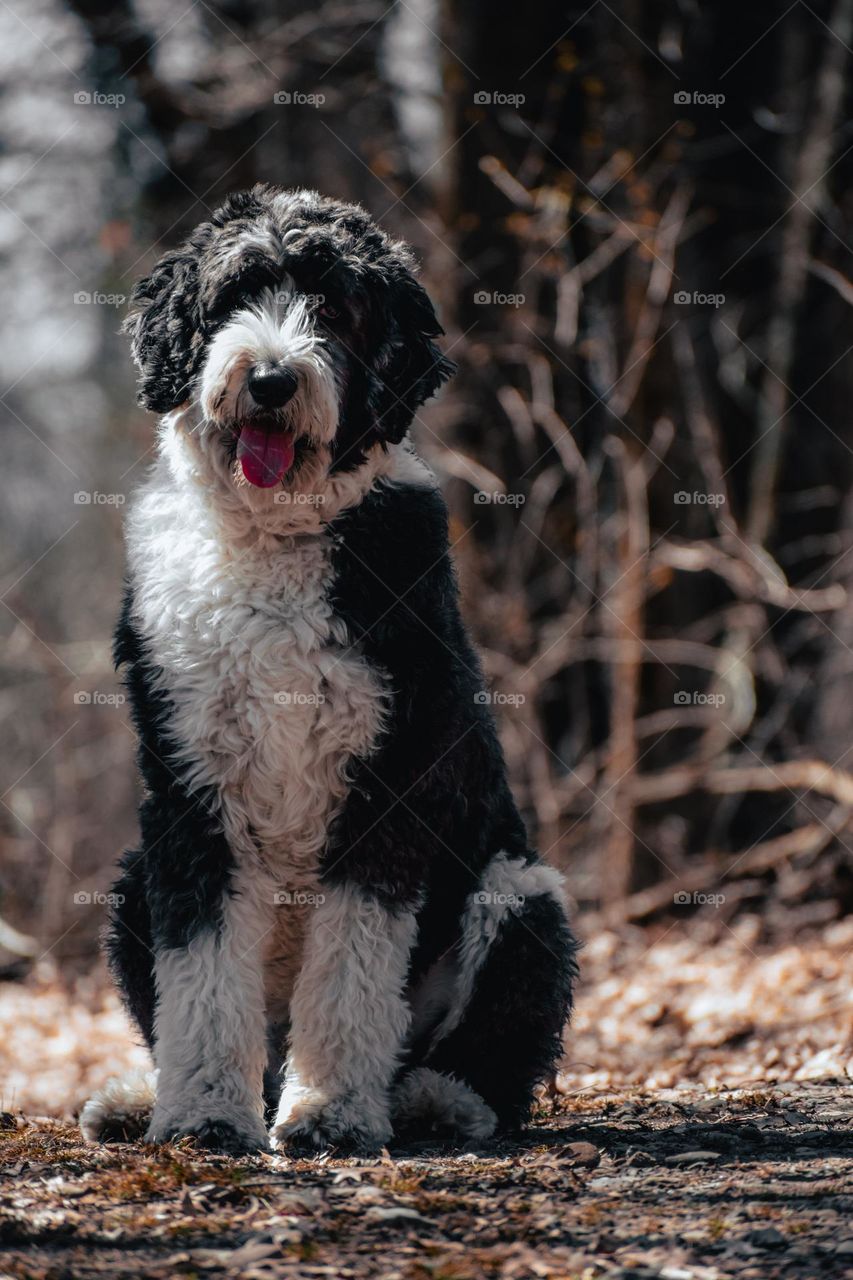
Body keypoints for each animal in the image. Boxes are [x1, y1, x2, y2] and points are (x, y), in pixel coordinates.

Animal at [81, 185, 578, 1157]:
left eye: (337, 309)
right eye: (236, 292)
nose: (272, 378)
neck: (274, 541)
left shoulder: (385, 785)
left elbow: (352, 968)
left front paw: (332, 1115)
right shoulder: (190, 798)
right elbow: (199, 979)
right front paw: (201, 1112)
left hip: (521, 894)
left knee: (491, 1048)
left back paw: (434, 1101)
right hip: (128, 886)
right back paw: (139, 1097)